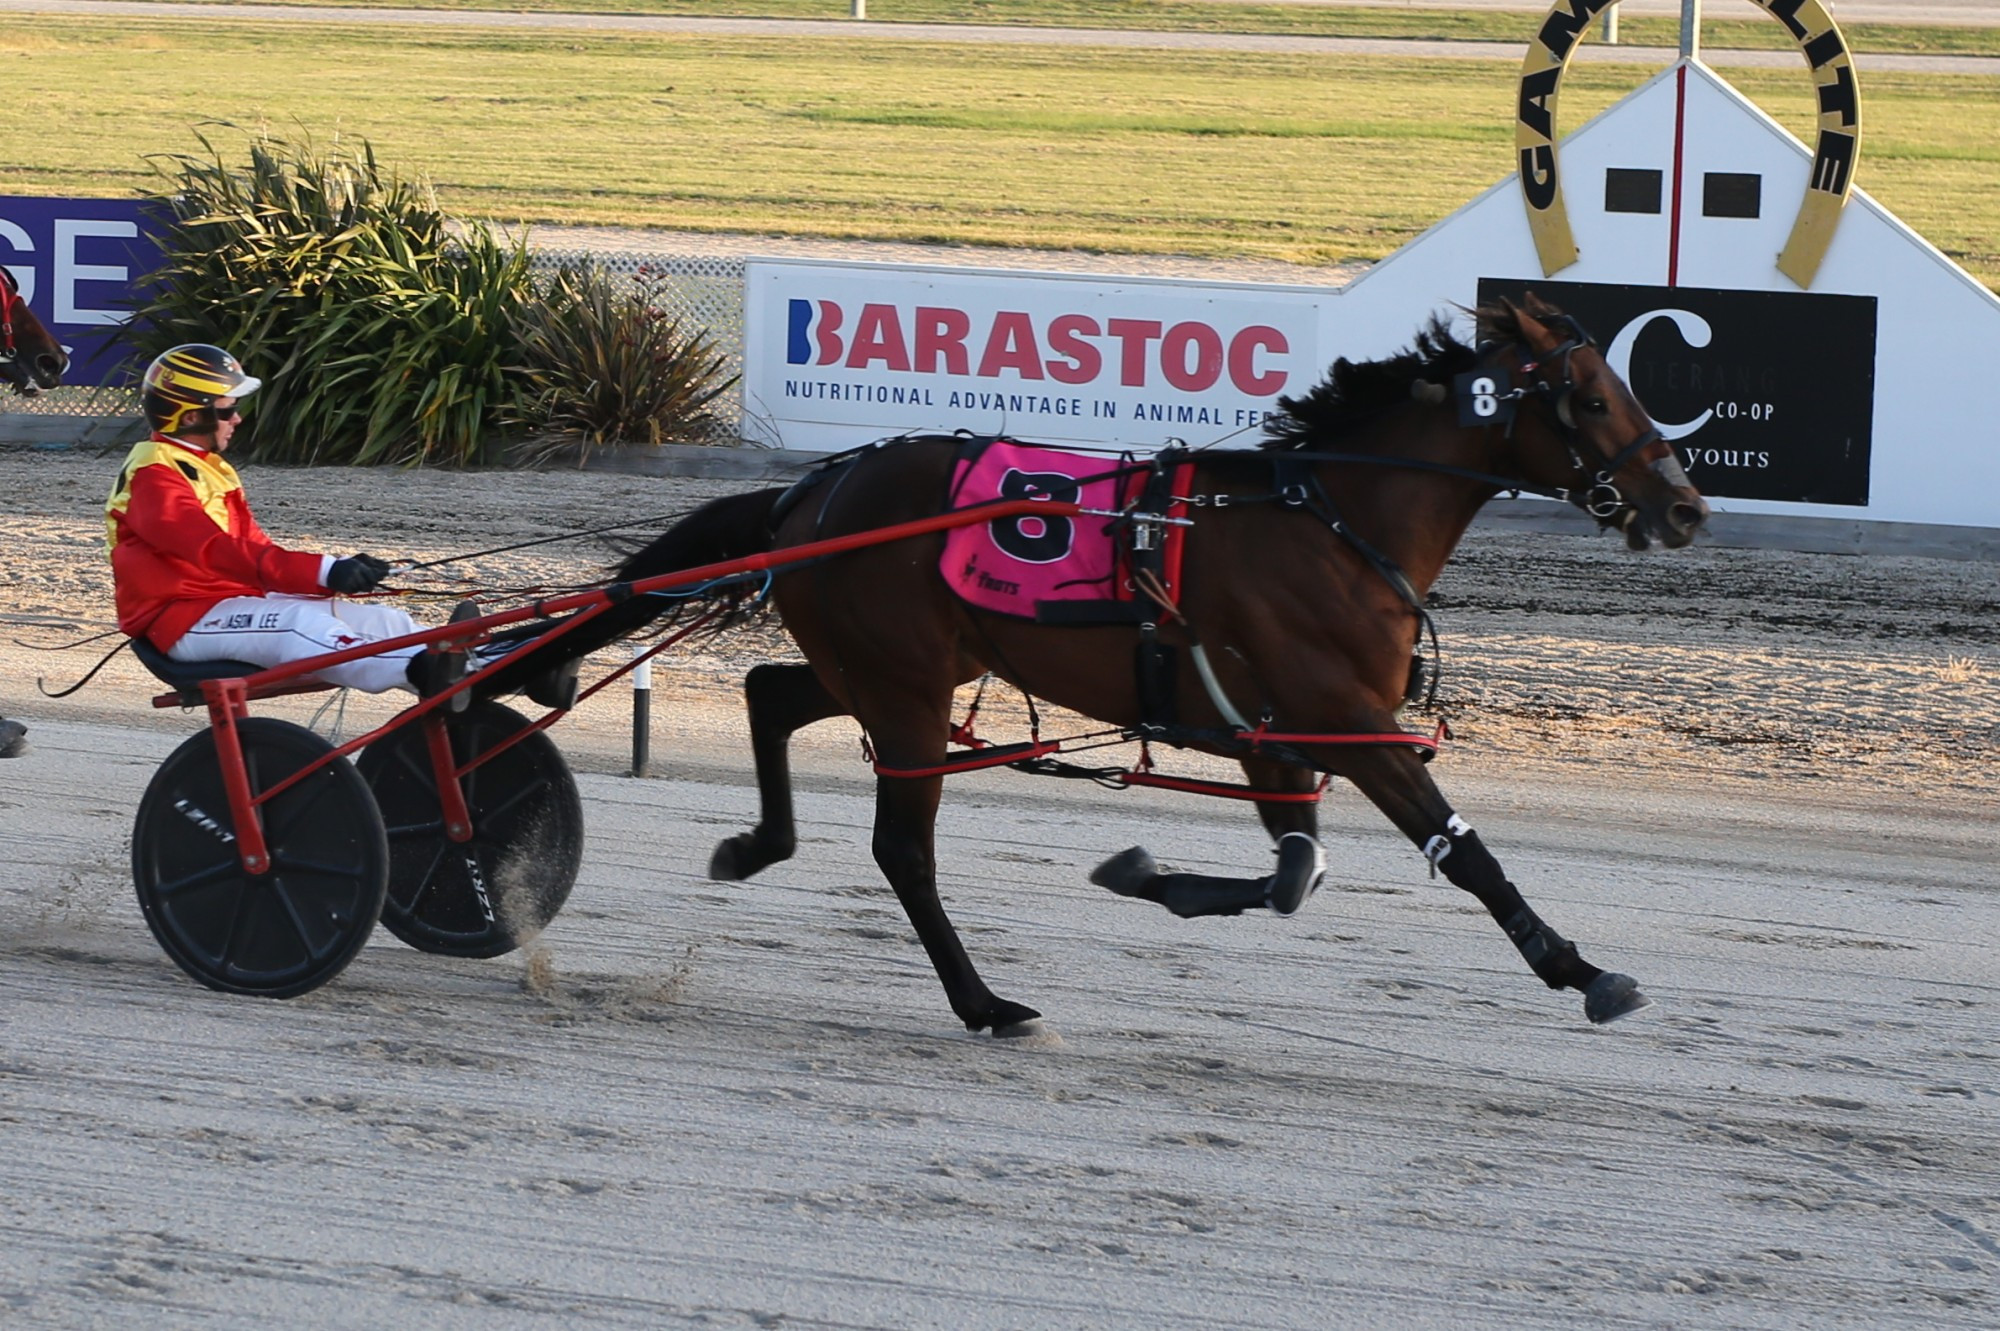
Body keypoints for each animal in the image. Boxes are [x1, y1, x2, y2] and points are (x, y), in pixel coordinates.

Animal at [492, 297, 1712, 1039]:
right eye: (1591, 397)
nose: (1685, 506)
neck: (1327, 526)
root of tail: (812, 490)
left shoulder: (1278, 735)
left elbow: (1294, 872)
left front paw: (1141, 871)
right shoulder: (1344, 718)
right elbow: (1460, 854)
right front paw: (1584, 970)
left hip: (885, 669)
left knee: (769, 693)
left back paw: (756, 845)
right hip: (906, 687)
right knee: (901, 850)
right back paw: (985, 1001)